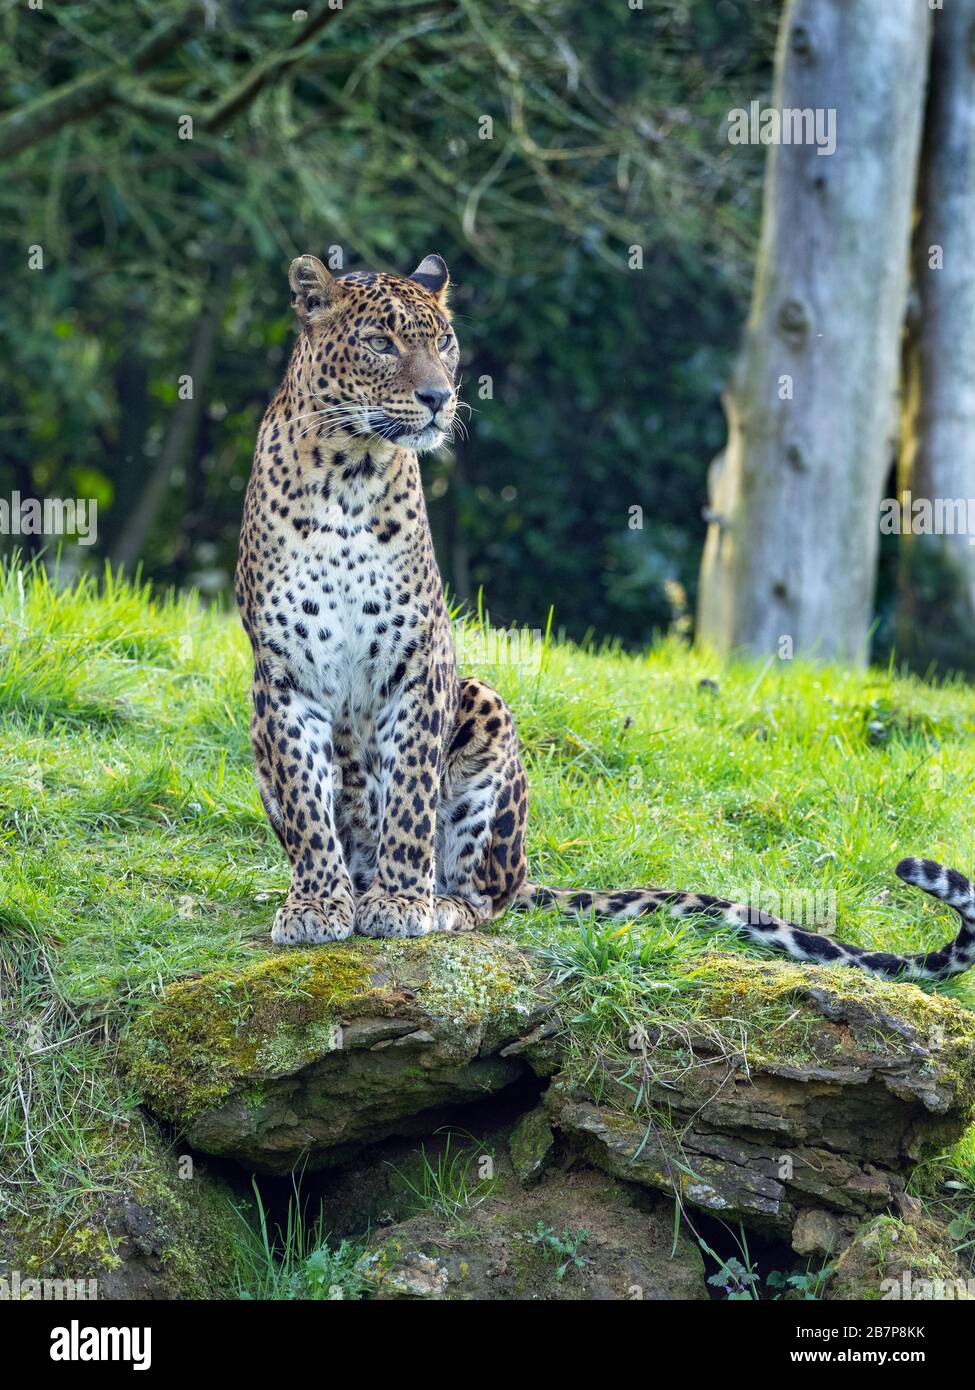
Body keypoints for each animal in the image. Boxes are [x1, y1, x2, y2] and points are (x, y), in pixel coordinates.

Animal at [235, 250, 975, 981]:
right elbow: (307, 805)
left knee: (487, 896)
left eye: (442, 342)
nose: (438, 398)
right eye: (381, 343)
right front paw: (316, 906)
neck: (348, 476)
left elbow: (411, 798)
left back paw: (436, 901)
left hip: (483, 705)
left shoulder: (419, 666)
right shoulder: (283, 678)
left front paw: (399, 901)